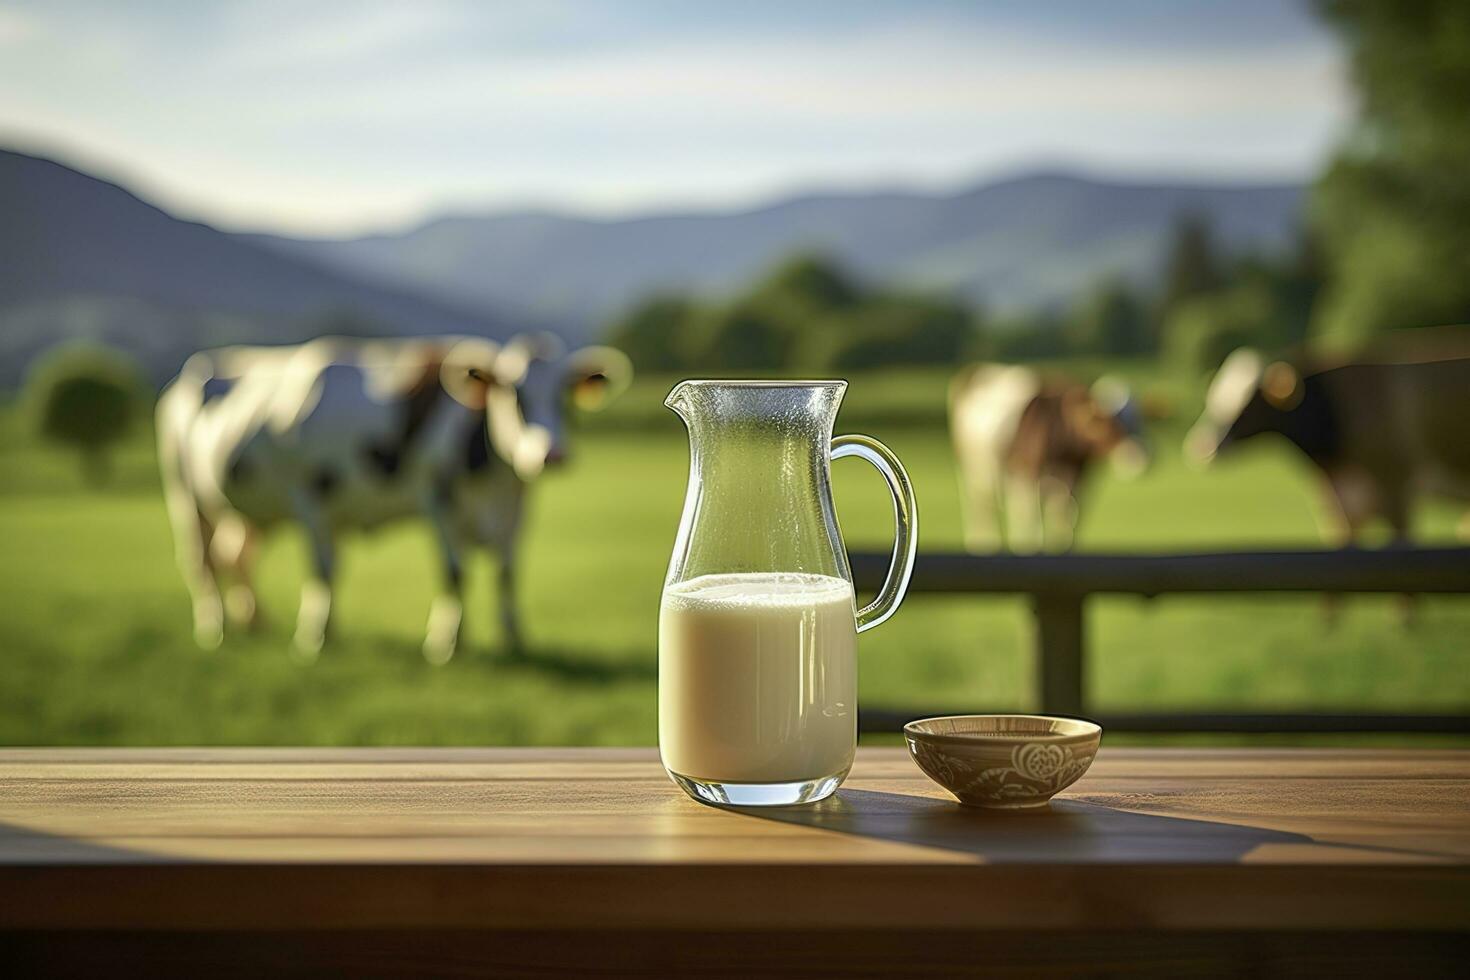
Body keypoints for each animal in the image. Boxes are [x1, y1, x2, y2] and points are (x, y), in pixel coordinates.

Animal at [159, 333, 632, 664]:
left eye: (563, 395)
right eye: (514, 393)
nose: (552, 454)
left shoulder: (515, 507)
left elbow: (507, 572)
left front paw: (514, 640)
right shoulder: (428, 500)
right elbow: (450, 572)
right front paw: (445, 644)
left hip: (246, 511)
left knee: (236, 554)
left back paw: (253, 622)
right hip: (186, 492)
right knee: (202, 559)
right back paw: (216, 628)